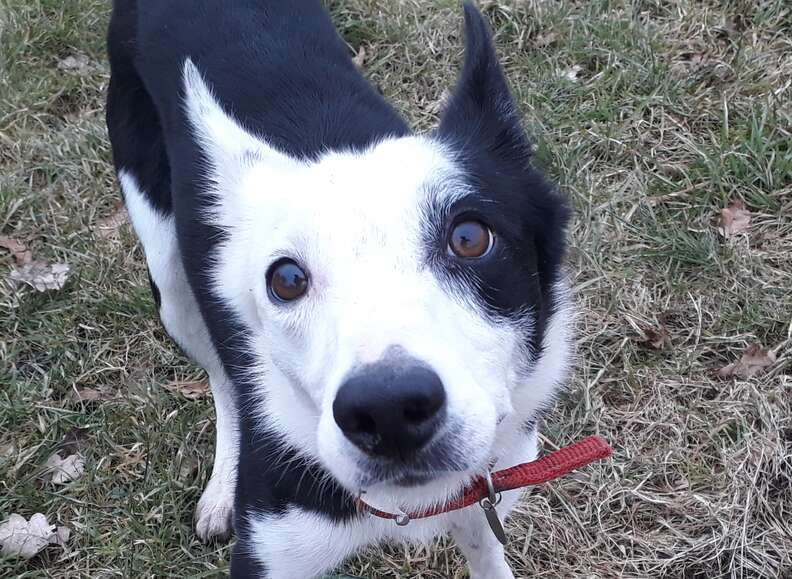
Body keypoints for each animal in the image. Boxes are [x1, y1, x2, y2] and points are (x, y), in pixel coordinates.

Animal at [108, 1, 572, 576]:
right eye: (286, 279)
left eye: (469, 238)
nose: (388, 409)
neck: (407, 506)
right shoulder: (273, 548)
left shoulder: (484, 499)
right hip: (170, 276)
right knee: (220, 374)